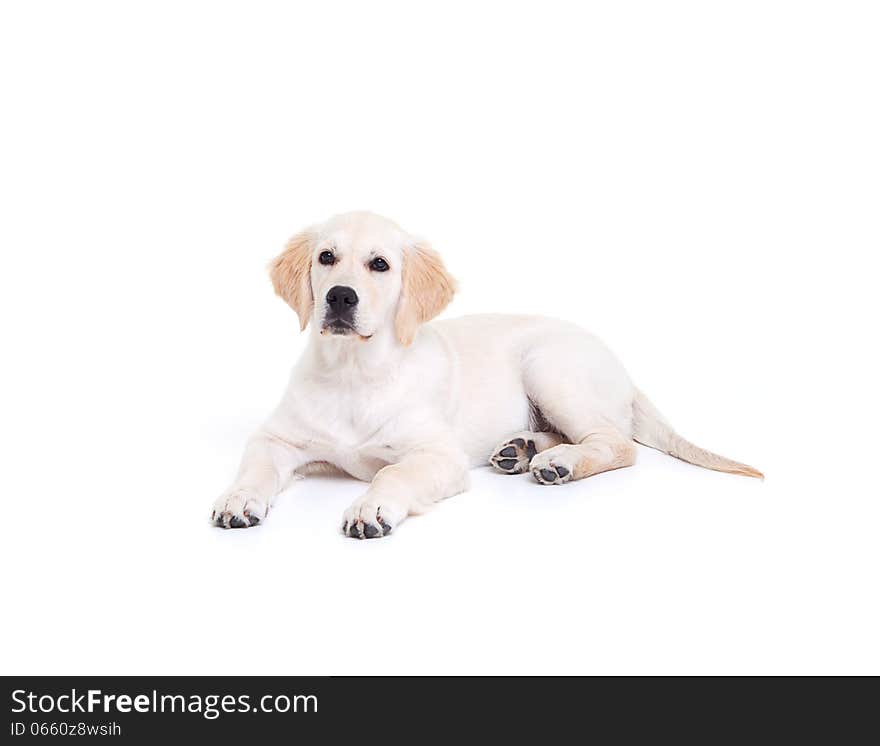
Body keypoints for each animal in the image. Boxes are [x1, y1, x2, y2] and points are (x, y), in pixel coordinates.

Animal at [213, 209, 764, 536]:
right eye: (326, 257)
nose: (340, 298)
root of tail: (626, 374)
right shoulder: (276, 439)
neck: (353, 371)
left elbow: (393, 471)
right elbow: (256, 468)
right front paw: (239, 499)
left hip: (549, 366)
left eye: (380, 265)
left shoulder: (438, 455)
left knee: (618, 443)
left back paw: (558, 462)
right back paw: (523, 450)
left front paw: (372, 507)